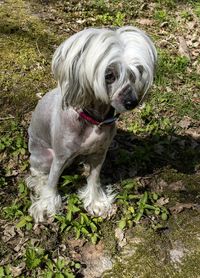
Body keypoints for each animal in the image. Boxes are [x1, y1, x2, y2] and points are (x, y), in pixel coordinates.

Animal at [26, 26, 156, 222]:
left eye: (134, 74)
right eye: (108, 75)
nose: (132, 102)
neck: (94, 120)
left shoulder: (100, 153)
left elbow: (94, 178)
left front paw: (96, 202)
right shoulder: (60, 157)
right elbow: (52, 181)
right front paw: (47, 205)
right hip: (45, 156)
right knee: (38, 172)